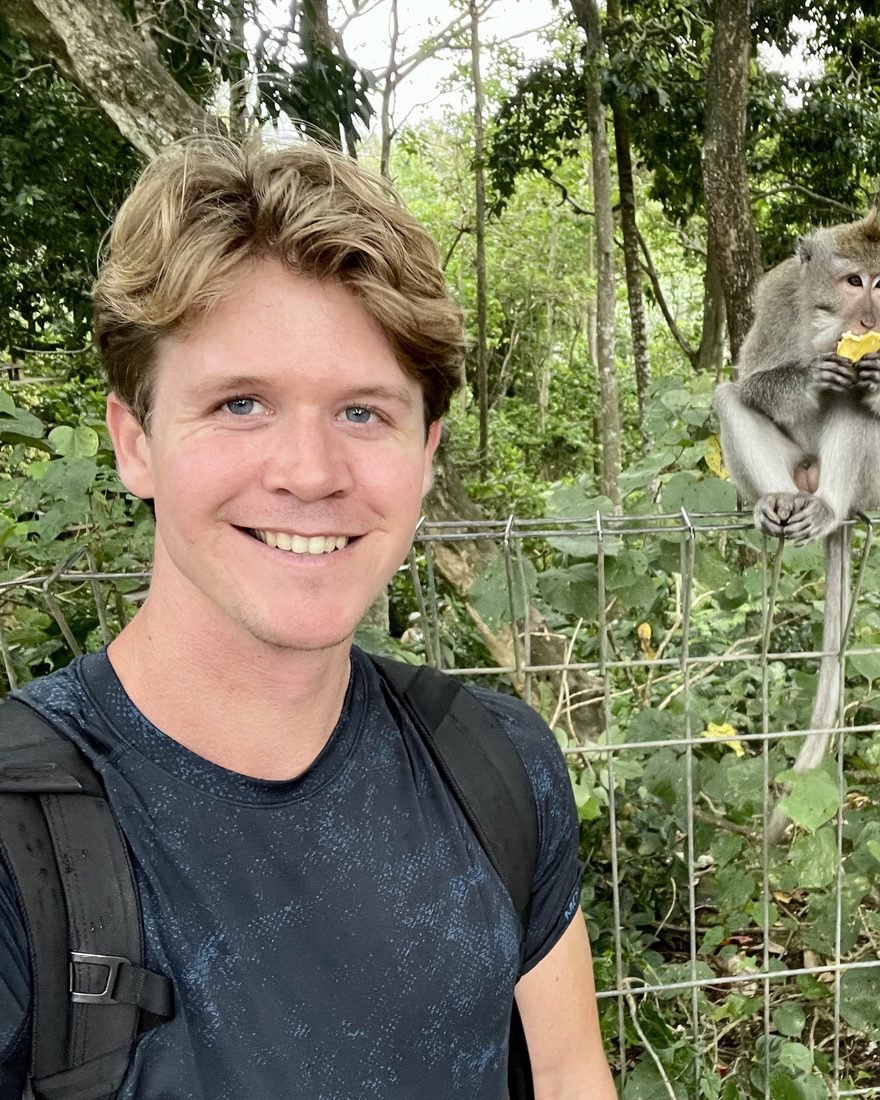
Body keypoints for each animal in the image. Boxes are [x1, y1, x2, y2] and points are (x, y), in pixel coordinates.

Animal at [715, 212, 880, 842]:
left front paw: (873, 378)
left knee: (854, 407)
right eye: (855, 280)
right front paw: (810, 376)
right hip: (790, 467)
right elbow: (751, 378)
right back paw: (777, 504)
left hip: (870, 484)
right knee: (729, 396)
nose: (870, 322)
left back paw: (829, 507)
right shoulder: (781, 296)